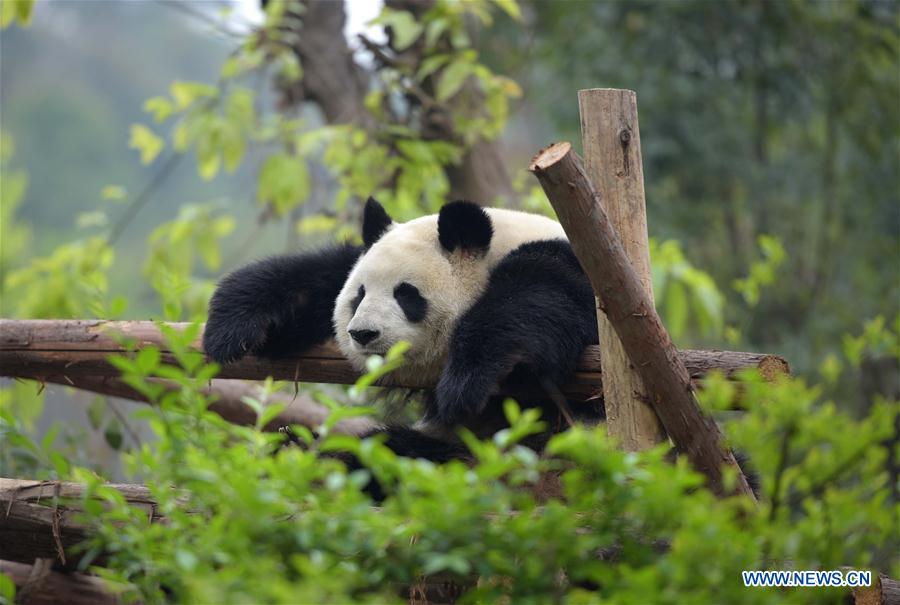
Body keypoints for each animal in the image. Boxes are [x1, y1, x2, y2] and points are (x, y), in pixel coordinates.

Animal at [201, 201, 600, 464]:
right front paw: (232, 324)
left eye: (406, 294)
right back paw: (299, 450)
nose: (362, 333)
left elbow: (539, 302)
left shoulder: (573, 270)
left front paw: (466, 380)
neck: (495, 251)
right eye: (359, 296)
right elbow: (319, 277)